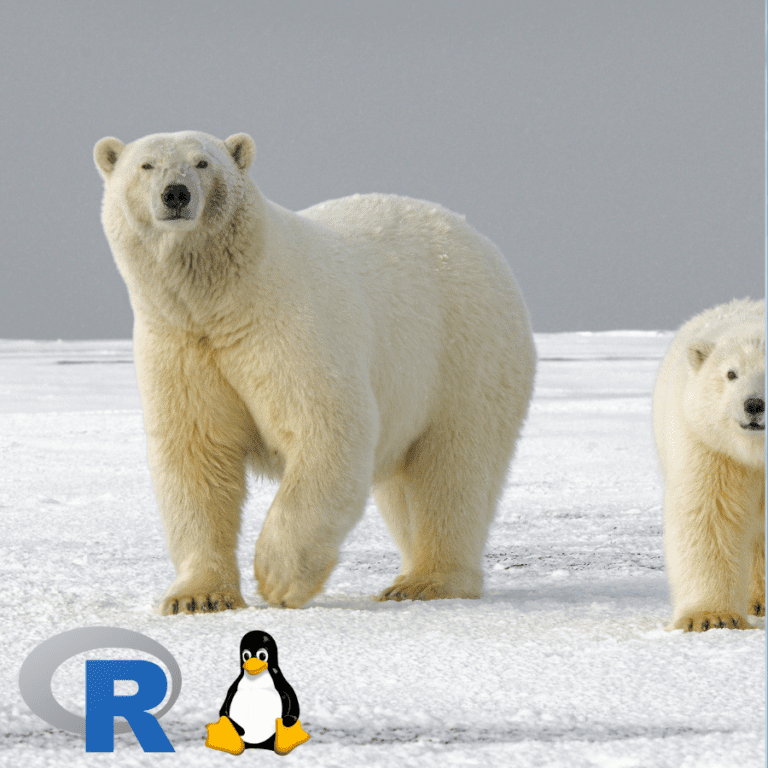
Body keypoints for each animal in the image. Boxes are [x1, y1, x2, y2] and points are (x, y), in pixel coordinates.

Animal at [93, 131, 536, 613]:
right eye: (146, 165)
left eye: (202, 162)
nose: (176, 194)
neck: (223, 300)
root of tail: (481, 240)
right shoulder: (180, 344)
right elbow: (197, 454)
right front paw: (198, 597)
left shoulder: (287, 327)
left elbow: (326, 428)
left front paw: (277, 578)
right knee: (405, 487)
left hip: (464, 352)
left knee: (453, 468)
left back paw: (427, 581)